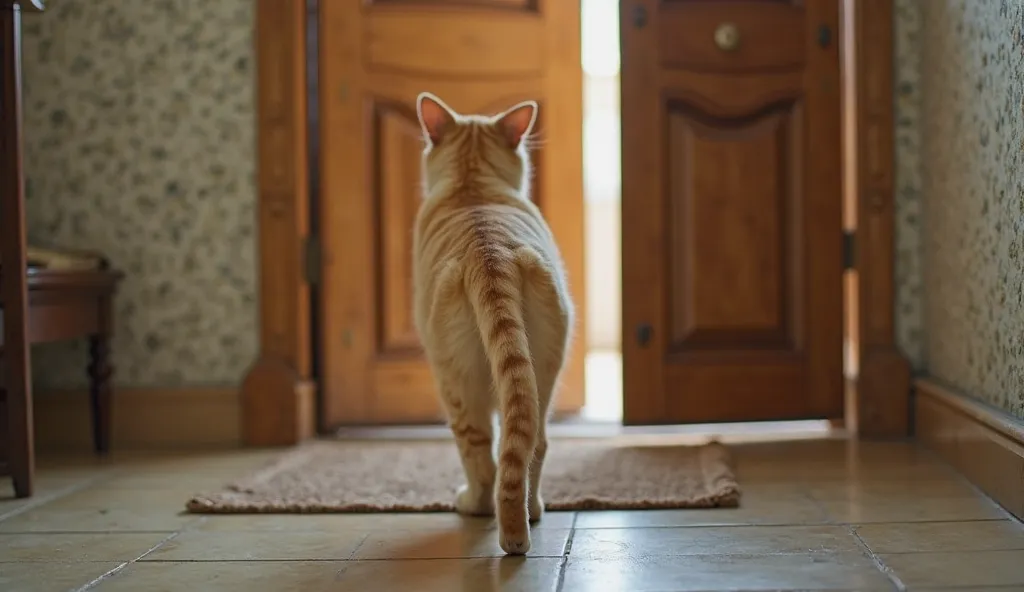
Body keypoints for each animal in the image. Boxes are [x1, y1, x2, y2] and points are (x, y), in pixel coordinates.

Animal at [413, 92, 577, 553]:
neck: (473, 188)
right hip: (544, 371)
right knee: (531, 444)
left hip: (454, 382)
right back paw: (530, 515)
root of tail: (490, 253)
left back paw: (475, 507)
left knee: (480, 453)